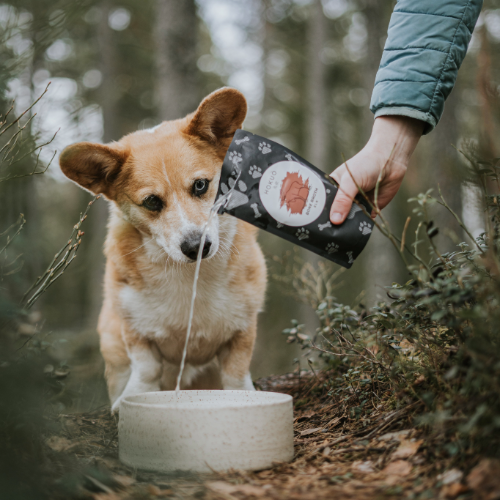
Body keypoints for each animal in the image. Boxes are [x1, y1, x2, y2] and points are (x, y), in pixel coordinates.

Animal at [60, 88, 268, 412]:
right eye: (152, 202)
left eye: (200, 185)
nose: (196, 247)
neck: (189, 277)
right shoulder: (136, 331)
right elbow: (146, 369)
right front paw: (131, 401)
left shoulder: (242, 330)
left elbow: (236, 373)